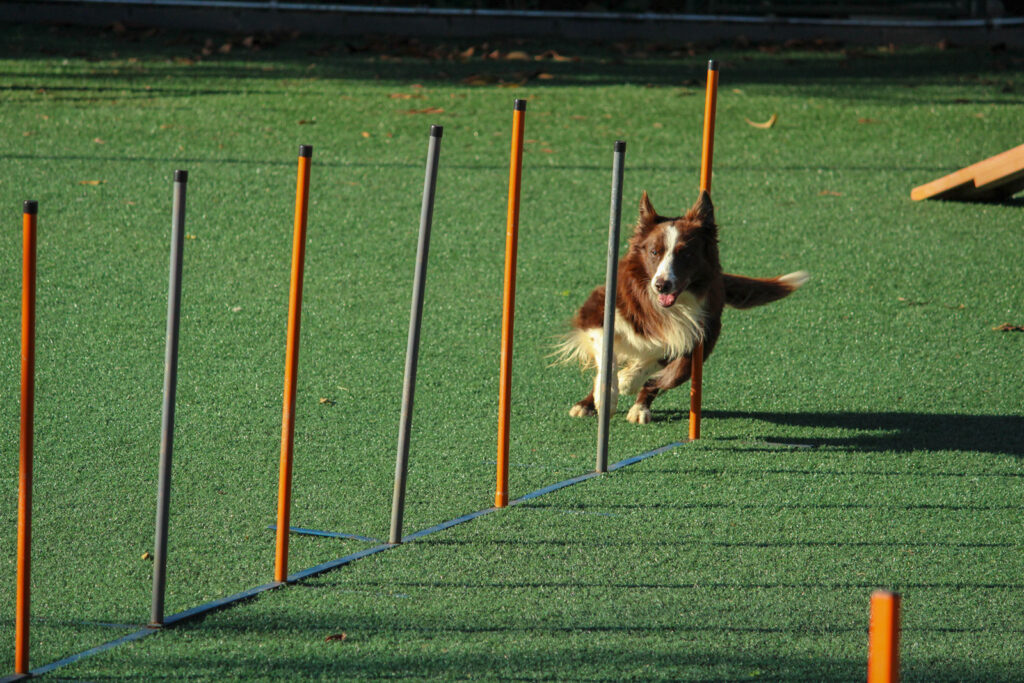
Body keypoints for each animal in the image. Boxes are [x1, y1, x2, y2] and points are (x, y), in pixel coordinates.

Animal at [561, 191, 806, 421]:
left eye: (686, 253)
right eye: (654, 252)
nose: (662, 285)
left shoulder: (689, 334)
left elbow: (652, 363)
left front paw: (627, 380)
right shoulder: (595, 311)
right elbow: (606, 357)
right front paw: (607, 396)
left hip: (692, 358)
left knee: (657, 381)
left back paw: (639, 408)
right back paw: (586, 405)